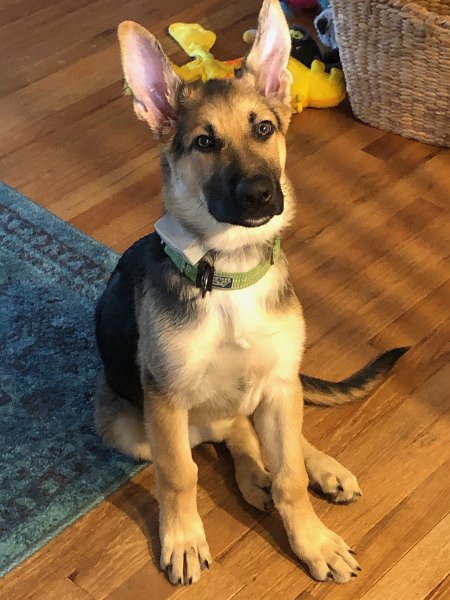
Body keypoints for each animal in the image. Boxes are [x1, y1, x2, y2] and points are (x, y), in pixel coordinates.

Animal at [95, 0, 408, 584]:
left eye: (264, 129)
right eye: (204, 142)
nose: (262, 194)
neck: (228, 273)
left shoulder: (280, 380)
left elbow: (289, 477)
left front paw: (311, 540)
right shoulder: (165, 400)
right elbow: (181, 475)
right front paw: (183, 539)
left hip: (276, 385)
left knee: (260, 428)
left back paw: (317, 468)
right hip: (128, 425)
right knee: (228, 432)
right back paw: (251, 477)